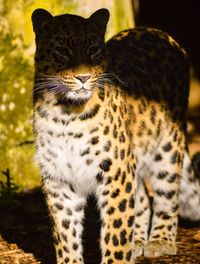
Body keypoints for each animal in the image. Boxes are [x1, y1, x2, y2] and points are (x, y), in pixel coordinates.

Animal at [31, 7, 200, 262]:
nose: (83, 77)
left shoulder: (115, 171)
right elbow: (66, 234)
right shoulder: (58, 178)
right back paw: (138, 241)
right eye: (62, 50)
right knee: (142, 198)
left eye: (93, 49)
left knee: (167, 193)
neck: (65, 113)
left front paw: (118, 257)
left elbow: (116, 230)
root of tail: (158, 32)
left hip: (167, 146)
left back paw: (160, 240)